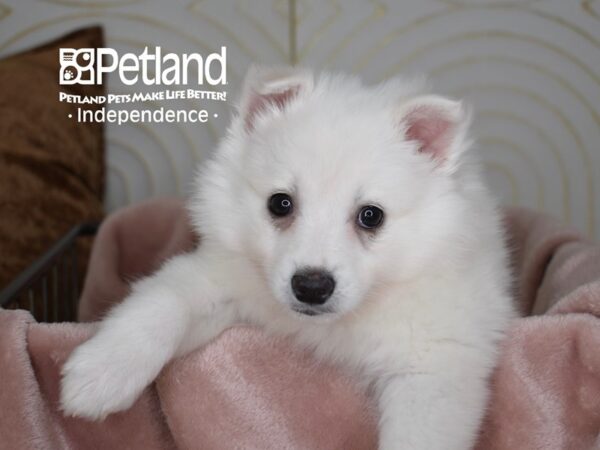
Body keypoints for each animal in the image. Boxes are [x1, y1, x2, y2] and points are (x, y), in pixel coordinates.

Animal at [61, 67, 516, 450]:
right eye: (280, 203)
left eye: (371, 216)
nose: (311, 287)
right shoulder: (221, 277)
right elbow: (162, 302)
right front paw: (102, 372)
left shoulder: (434, 368)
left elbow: (417, 436)